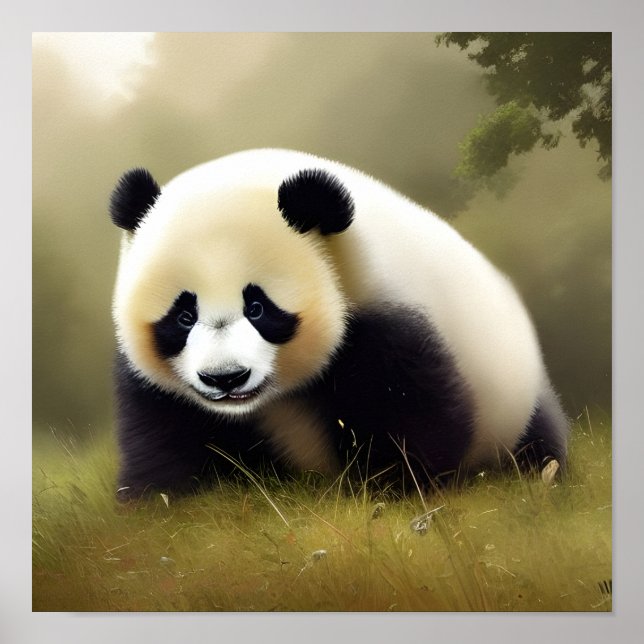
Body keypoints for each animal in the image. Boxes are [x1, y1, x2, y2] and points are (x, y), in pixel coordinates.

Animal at [109, 148, 568, 499]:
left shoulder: (385, 323)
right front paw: (165, 500)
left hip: (513, 394)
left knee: (537, 441)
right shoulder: (156, 387)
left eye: (258, 308)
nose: (226, 378)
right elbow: (164, 433)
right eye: (184, 316)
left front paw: (390, 488)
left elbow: (410, 414)